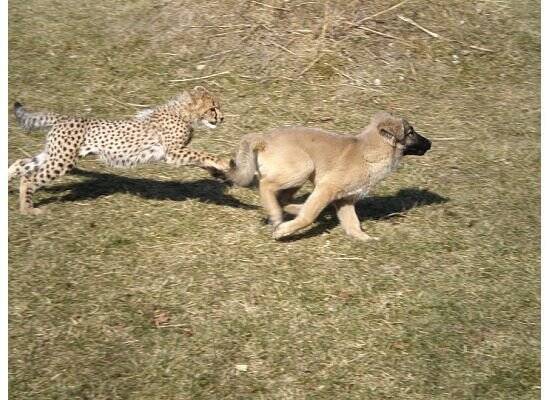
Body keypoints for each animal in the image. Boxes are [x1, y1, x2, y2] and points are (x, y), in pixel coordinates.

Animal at [10, 85, 231, 214]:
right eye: (212, 108)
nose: (222, 118)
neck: (183, 112)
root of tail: (64, 117)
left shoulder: (178, 151)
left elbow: (200, 159)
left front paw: (218, 173)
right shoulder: (173, 153)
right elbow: (202, 153)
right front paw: (223, 162)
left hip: (53, 155)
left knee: (20, 164)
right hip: (62, 161)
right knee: (29, 178)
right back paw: (28, 210)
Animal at [226, 111, 434, 241]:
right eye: (411, 132)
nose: (431, 143)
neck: (369, 153)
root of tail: (263, 139)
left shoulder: (345, 200)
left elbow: (353, 224)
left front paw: (366, 239)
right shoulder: (327, 189)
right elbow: (308, 216)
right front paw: (284, 231)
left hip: (300, 176)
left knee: (283, 198)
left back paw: (289, 209)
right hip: (304, 167)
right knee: (266, 186)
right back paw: (277, 215)